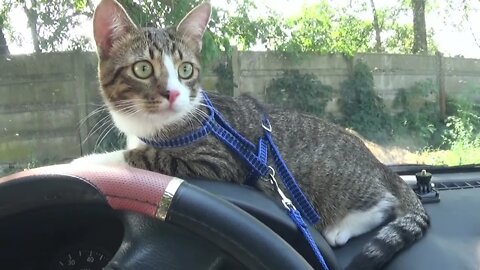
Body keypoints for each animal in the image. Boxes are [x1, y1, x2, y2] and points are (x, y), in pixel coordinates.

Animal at [73, 1, 430, 268]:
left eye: (185, 69)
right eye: (143, 69)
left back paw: (343, 227)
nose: (173, 94)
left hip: (329, 178)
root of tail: (378, 163)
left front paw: (89, 162)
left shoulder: (217, 160)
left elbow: (144, 155)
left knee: (382, 203)